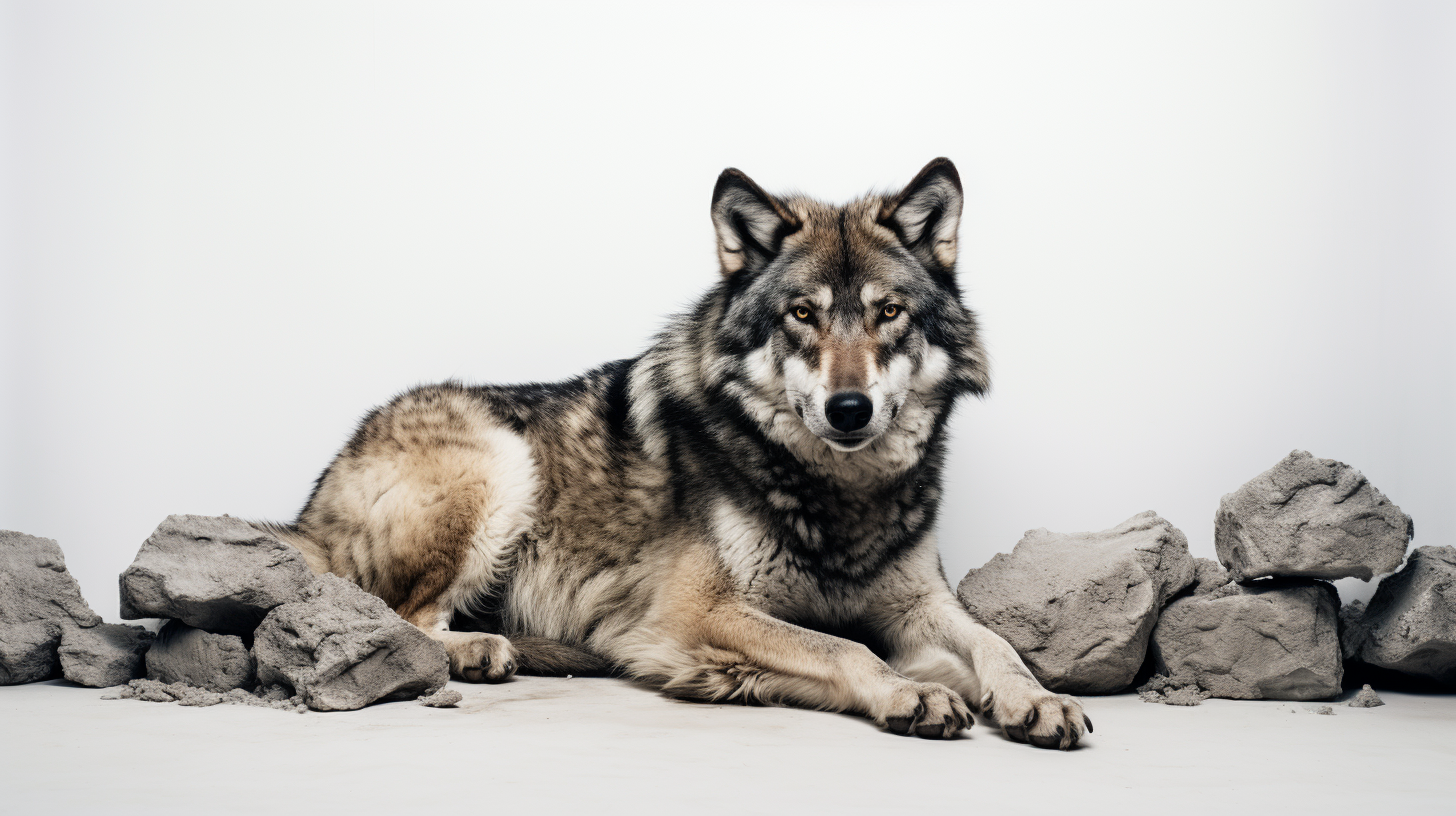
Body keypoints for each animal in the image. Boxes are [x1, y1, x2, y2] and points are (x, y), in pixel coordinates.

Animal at [264, 155, 1094, 751]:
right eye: (802, 315)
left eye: (888, 313)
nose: (849, 408)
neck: (837, 493)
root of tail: (308, 510)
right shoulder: (699, 616)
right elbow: (845, 650)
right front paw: (911, 691)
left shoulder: (920, 603)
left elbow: (995, 643)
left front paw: (1038, 698)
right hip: (499, 470)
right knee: (404, 616)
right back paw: (479, 653)